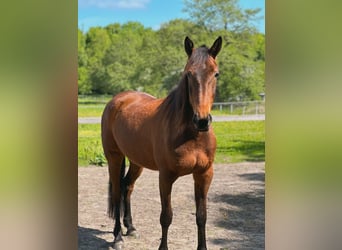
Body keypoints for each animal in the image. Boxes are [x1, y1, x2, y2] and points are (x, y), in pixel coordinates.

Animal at [101, 36, 223, 249]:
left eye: (216, 74)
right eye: (188, 74)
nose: (201, 121)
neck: (191, 136)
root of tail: (117, 100)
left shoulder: (204, 174)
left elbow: (202, 216)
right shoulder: (166, 176)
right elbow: (166, 216)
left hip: (136, 161)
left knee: (127, 187)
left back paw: (130, 228)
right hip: (114, 158)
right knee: (116, 193)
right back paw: (118, 237)